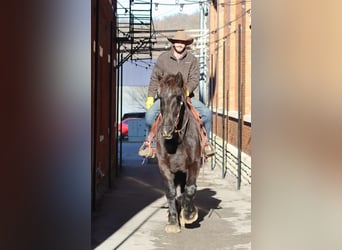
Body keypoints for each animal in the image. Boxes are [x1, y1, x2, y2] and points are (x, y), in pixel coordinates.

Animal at [156, 72, 202, 232]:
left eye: (177, 97)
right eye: (160, 97)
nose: (166, 131)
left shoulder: (194, 164)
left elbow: (190, 189)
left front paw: (189, 214)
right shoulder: (164, 166)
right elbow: (170, 192)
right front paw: (172, 221)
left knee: (184, 190)